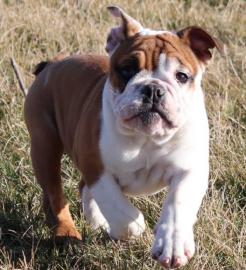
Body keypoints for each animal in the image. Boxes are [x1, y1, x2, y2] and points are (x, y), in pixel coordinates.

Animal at [24, 5, 223, 268]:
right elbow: (120, 210)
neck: (147, 138)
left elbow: (178, 205)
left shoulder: (190, 169)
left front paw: (172, 244)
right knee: (56, 195)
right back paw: (67, 232)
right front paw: (131, 226)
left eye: (182, 76)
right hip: (44, 147)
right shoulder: (96, 167)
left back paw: (97, 222)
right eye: (127, 70)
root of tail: (51, 65)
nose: (152, 89)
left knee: (80, 187)